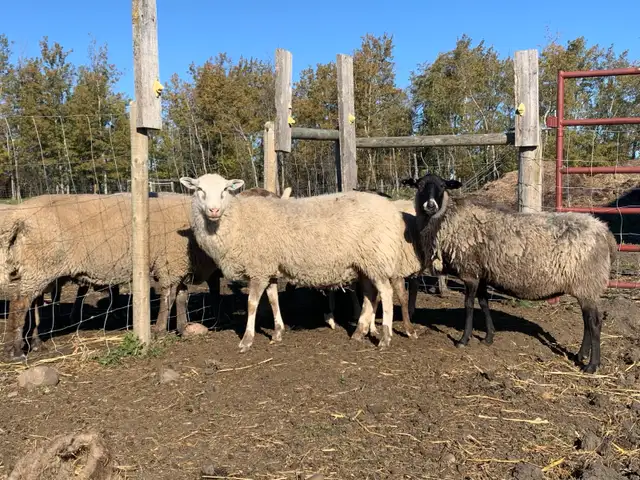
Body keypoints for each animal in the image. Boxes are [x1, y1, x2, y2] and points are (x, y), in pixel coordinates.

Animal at [0, 192, 218, 359]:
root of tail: (20, 215)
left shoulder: (179, 265)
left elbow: (181, 297)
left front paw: (182, 328)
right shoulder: (170, 263)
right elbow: (169, 297)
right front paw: (159, 331)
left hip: (39, 266)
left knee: (33, 301)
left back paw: (36, 343)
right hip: (42, 264)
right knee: (19, 303)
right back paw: (15, 350)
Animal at [180, 173, 408, 352]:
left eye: (225, 190)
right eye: (199, 189)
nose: (214, 210)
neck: (238, 220)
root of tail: (392, 210)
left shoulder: (259, 268)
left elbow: (252, 304)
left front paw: (246, 340)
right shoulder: (269, 268)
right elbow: (273, 299)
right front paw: (278, 333)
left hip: (377, 257)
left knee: (386, 293)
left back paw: (385, 338)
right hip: (365, 263)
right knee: (370, 294)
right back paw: (359, 332)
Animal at [405, 173, 617, 374]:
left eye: (442, 186)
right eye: (420, 185)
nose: (430, 206)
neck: (448, 219)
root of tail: (605, 232)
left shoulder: (470, 272)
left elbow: (469, 305)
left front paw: (463, 340)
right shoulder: (482, 273)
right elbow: (484, 304)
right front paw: (488, 337)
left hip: (588, 283)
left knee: (595, 323)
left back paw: (591, 365)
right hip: (585, 287)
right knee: (587, 321)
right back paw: (581, 355)